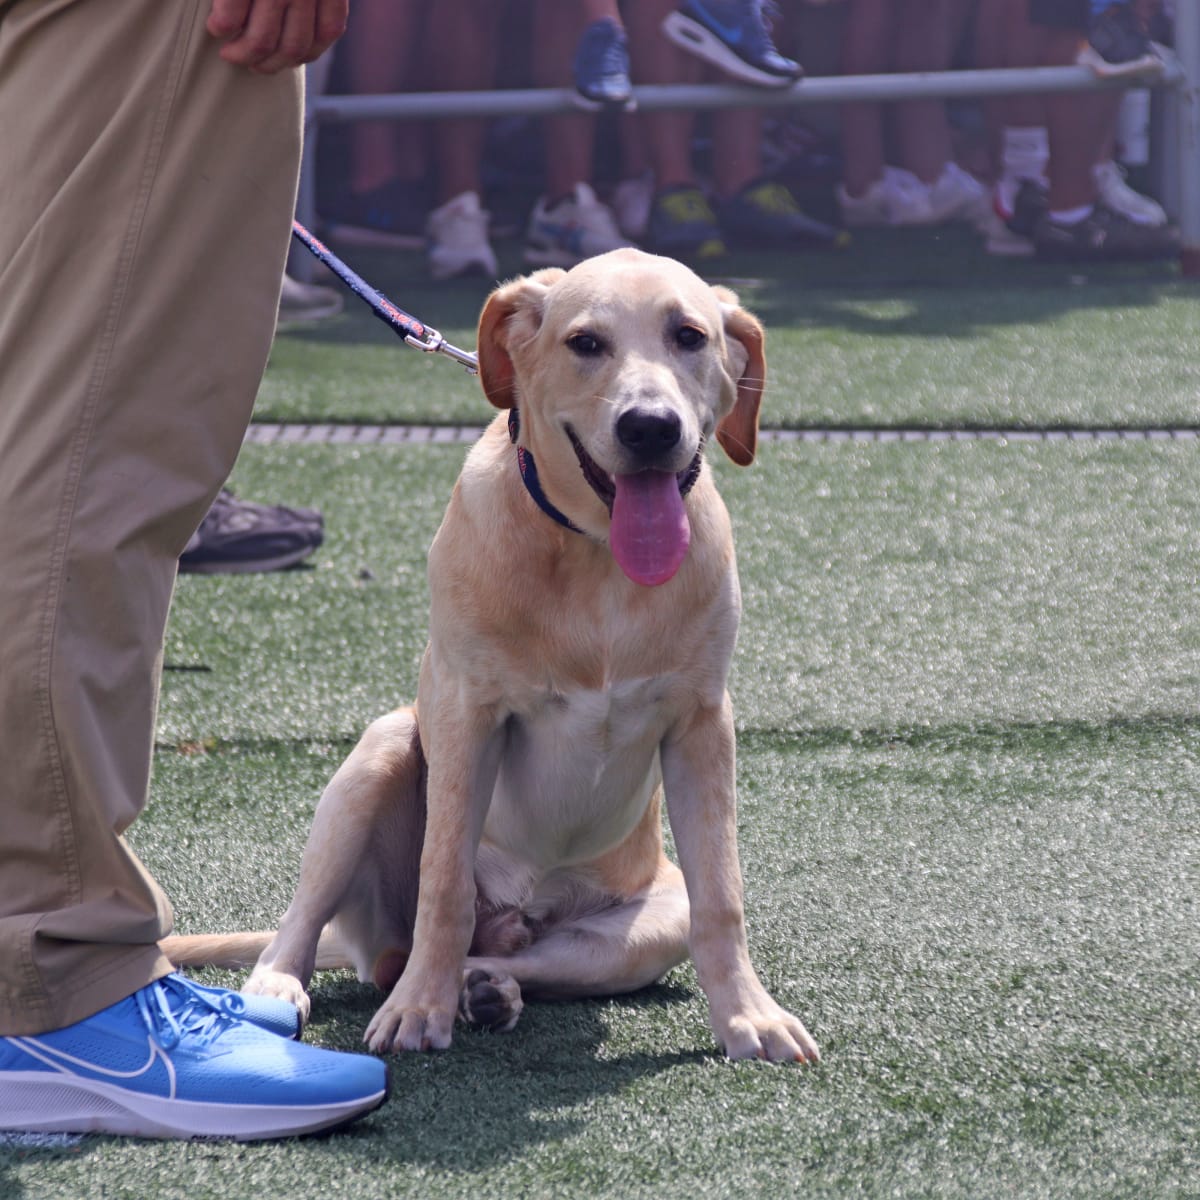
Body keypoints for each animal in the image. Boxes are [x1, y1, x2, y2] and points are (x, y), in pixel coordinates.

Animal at [164, 250, 820, 1060]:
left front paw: (748, 1017)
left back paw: (488, 987)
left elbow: (723, 895)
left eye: (690, 336)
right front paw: (420, 1011)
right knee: (338, 928)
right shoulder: (466, 710)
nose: (650, 428)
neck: (597, 558)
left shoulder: (703, 723)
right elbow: (442, 882)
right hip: (382, 751)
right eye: (585, 343)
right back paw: (297, 984)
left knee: (520, 957)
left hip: (646, 924)